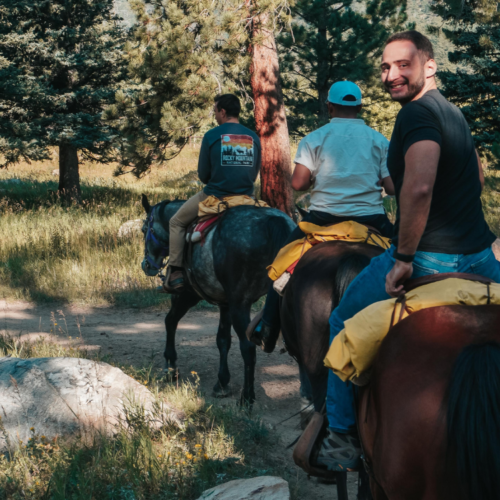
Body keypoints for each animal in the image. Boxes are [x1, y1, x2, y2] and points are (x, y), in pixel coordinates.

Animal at [141, 193, 294, 404]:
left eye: (144, 230)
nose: (146, 265)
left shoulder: (188, 294)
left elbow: (170, 321)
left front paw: (170, 366)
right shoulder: (225, 304)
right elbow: (223, 340)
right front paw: (222, 382)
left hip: (239, 305)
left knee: (248, 347)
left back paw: (247, 398)